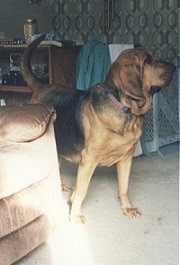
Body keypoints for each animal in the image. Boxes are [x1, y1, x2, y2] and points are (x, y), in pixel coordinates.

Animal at [20, 34, 175, 222]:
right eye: (147, 61)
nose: (174, 66)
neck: (125, 109)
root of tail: (40, 87)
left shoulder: (126, 159)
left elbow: (124, 188)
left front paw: (127, 208)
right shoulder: (89, 159)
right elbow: (81, 190)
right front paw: (75, 215)